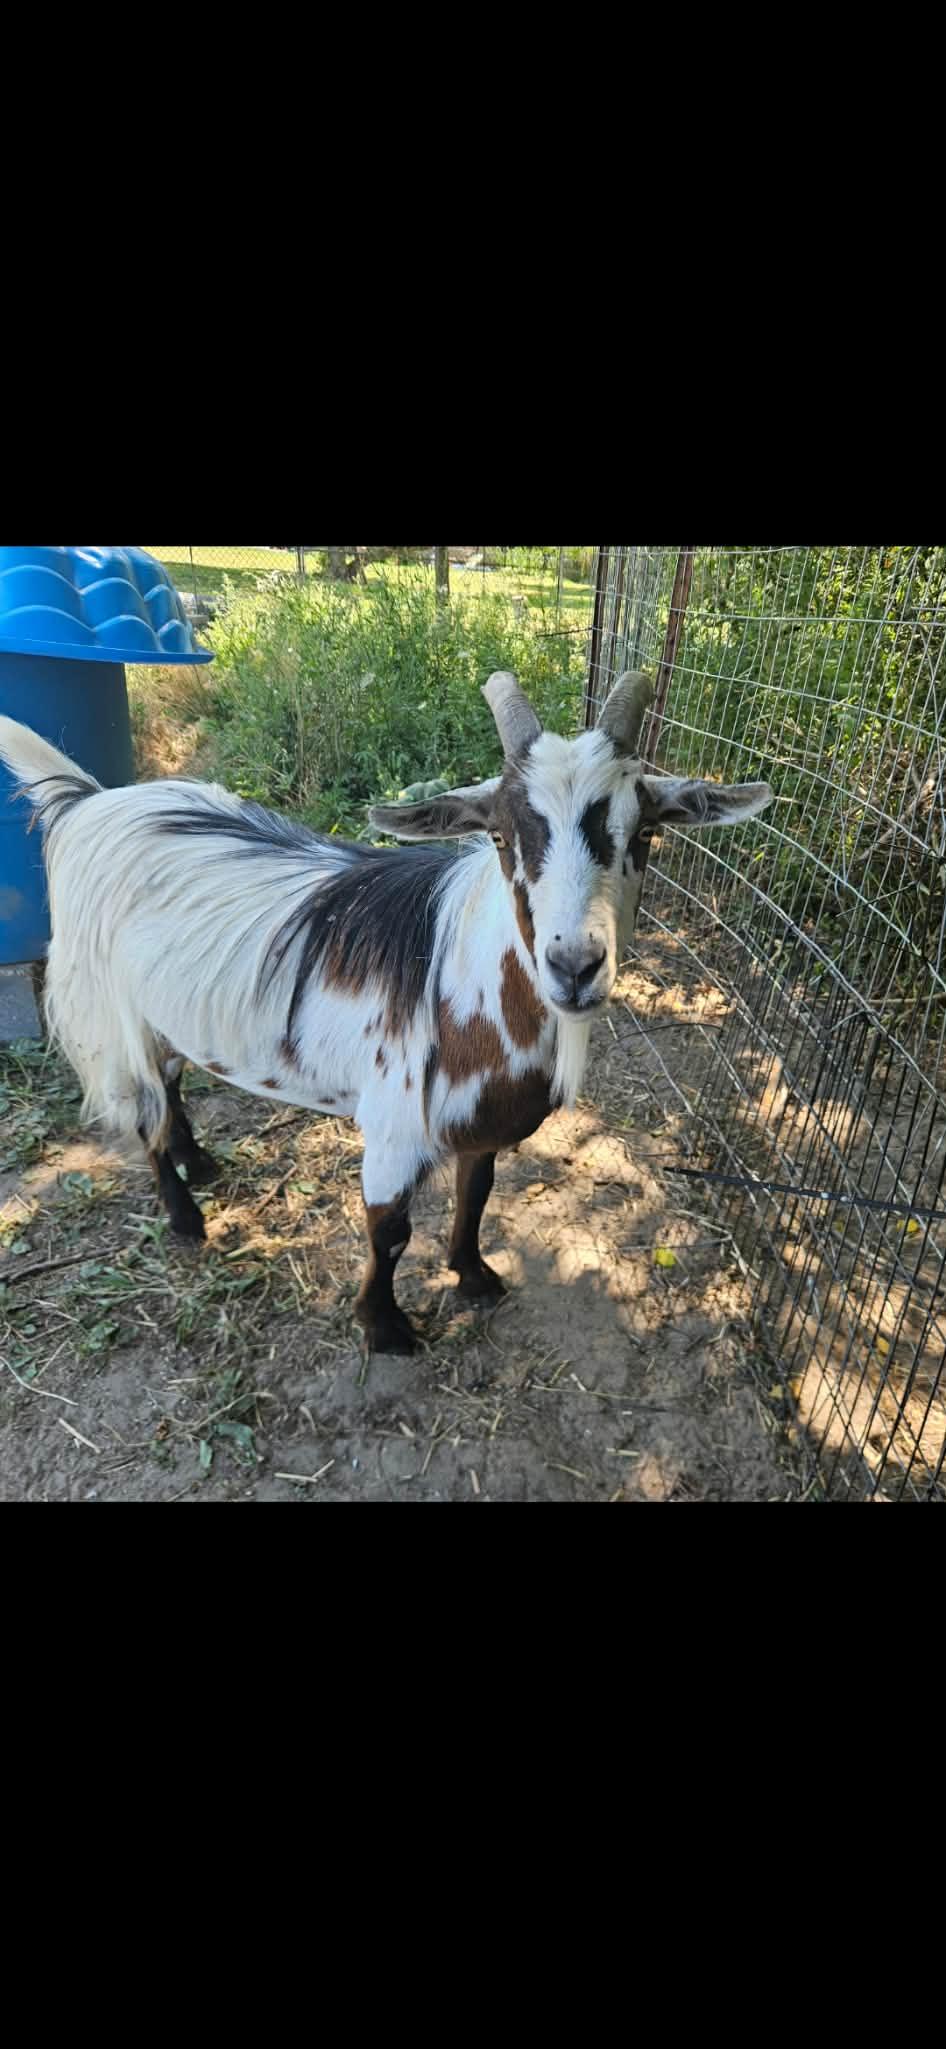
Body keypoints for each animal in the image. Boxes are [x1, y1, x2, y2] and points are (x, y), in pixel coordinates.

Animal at [0, 673, 772, 1353]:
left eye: (644, 834)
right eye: (501, 837)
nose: (575, 965)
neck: (469, 987)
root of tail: (89, 804)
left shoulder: (479, 1124)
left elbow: (477, 1193)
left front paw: (474, 1276)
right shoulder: (396, 1125)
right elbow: (390, 1232)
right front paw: (385, 1328)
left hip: (163, 1012)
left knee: (170, 1080)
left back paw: (201, 1163)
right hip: (110, 1010)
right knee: (142, 1106)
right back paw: (187, 1216)